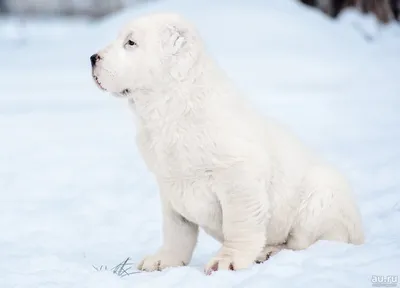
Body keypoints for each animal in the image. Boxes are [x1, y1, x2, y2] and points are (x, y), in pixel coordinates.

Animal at [90, 11, 362, 272]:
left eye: (131, 42)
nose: (92, 58)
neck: (173, 109)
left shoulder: (238, 179)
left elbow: (239, 225)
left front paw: (227, 261)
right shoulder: (169, 186)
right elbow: (177, 230)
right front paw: (164, 260)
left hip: (320, 197)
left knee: (305, 243)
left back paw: (268, 252)